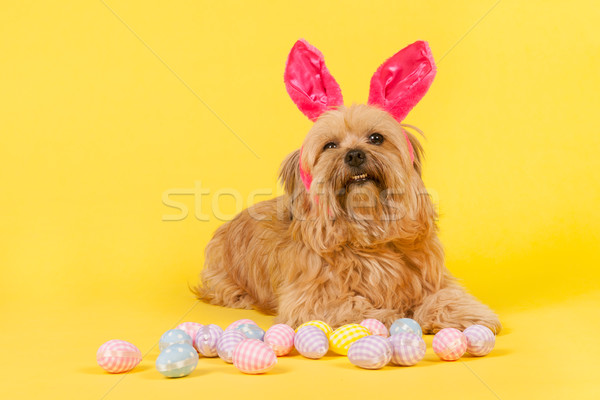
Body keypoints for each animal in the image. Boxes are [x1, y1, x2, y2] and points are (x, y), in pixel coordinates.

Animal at [193, 39, 502, 334]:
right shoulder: (310, 300)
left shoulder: (433, 278)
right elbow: (350, 304)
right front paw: (388, 315)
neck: (367, 232)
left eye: (376, 138)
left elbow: (447, 297)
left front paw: (470, 315)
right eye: (330, 145)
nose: (354, 154)